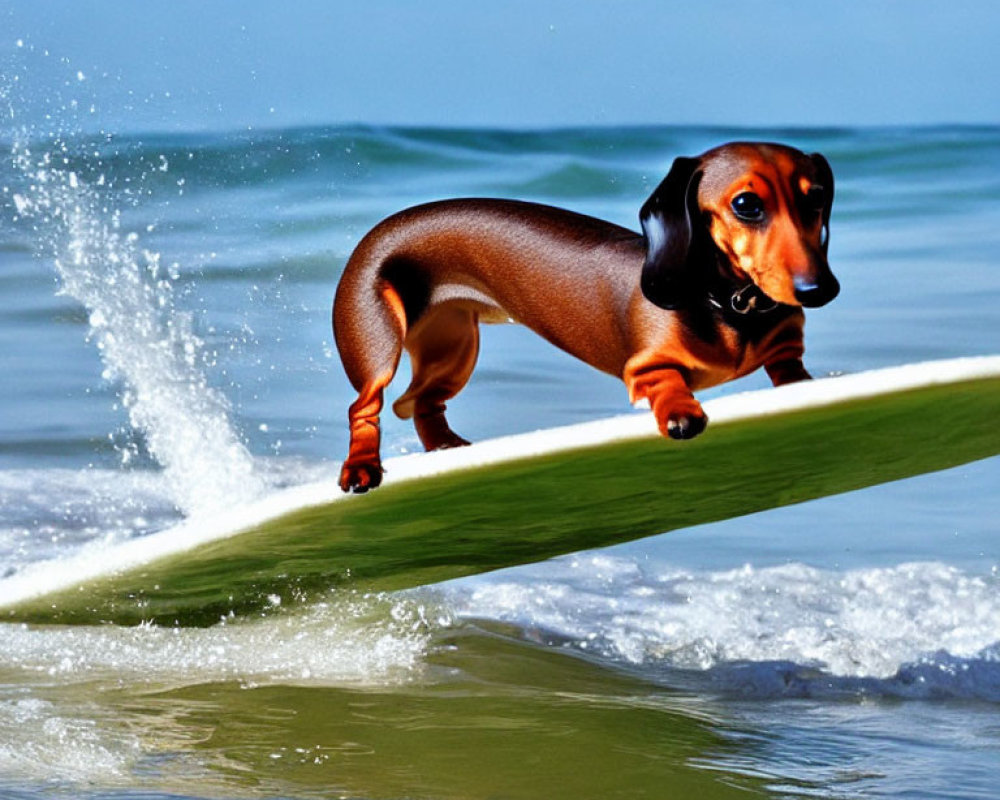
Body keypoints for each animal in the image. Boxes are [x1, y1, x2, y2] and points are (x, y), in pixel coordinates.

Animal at [334, 144, 836, 494]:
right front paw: (681, 412)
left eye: (817, 197)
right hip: (378, 345)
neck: (730, 306)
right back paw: (362, 468)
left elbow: (790, 369)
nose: (820, 290)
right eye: (746, 204)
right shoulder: (643, 366)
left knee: (424, 403)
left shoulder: (785, 349)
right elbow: (664, 379)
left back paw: (447, 447)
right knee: (365, 406)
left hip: (453, 350)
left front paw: (805, 389)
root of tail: (377, 230)